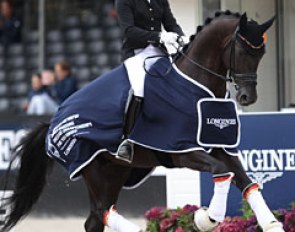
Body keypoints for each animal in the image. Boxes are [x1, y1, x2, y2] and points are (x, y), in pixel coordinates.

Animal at [2, 11, 284, 232]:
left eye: (262, 53)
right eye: (242, 50)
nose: (248, 97)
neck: (197, 87)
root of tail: (54, 121)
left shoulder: (221, 147)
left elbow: (247, 182)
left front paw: (272, 224)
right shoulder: (183, 151)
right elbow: (221, 172)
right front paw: (205, 218)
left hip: (115, 170)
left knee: (96, 219)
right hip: (92, 168)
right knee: (103, 211)